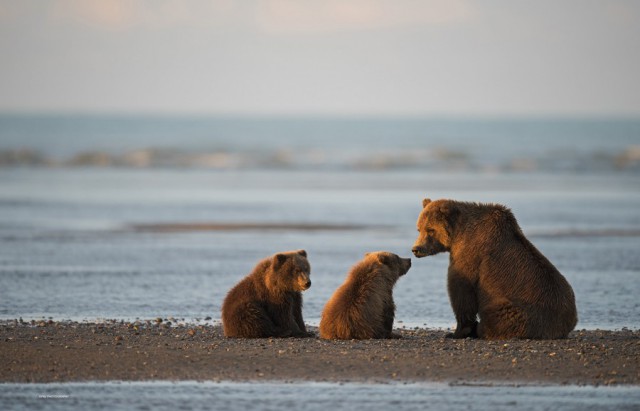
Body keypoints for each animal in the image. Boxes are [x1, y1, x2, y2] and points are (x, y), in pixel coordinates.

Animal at [412, 198, 576, 340]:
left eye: (430, 230)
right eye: (419, 229)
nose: (416, 249)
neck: (458, 233)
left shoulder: (470, 253)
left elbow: (461, 289)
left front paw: (456, 332)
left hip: (519, 310)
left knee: (496, 318)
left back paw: (480, 329)